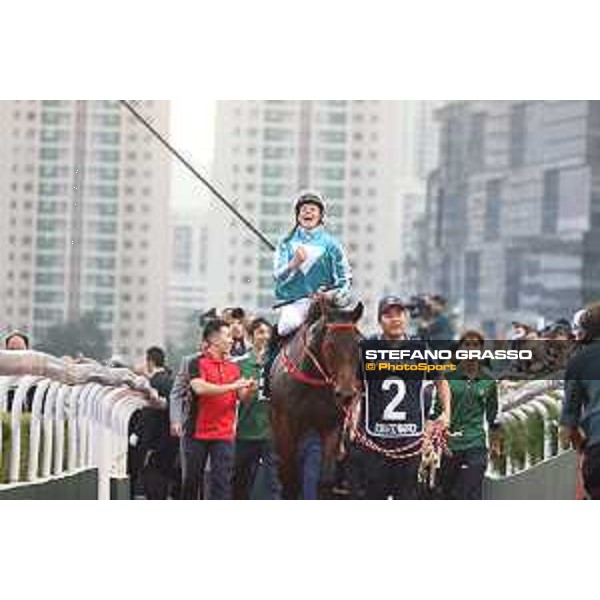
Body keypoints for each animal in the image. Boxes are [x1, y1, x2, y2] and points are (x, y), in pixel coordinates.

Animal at [270, 298, 364, 500]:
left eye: (358, 345)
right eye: (330, 345)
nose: (346, 394)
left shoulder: (332, 424)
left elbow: (325, 479)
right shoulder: (286, 425)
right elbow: (289, 478)